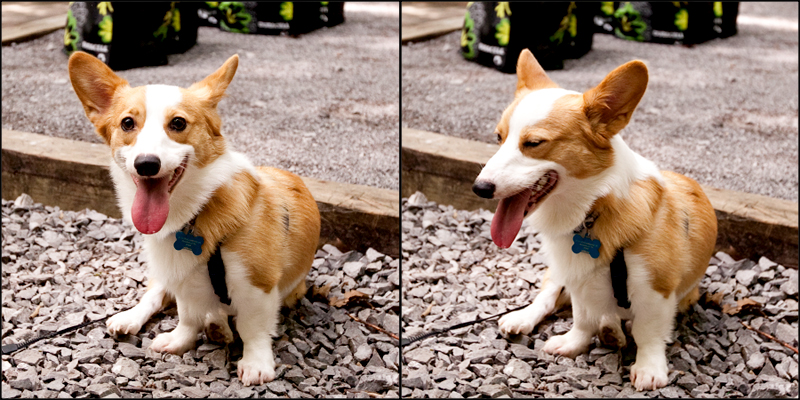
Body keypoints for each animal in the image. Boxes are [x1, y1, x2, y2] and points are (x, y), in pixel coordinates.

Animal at [68, 51, 318, 386]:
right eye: (127, 123)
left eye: (178, 123)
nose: (146, 164)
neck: (194, 212)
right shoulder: (182, 275)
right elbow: (187, 316)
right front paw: (178, 341)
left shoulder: (258, 284)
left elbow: (253, 328)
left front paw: (256, 364)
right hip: (163, 271)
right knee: (155, 295)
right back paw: (136, 318)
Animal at [472, 50, 716, 390]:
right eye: (498, 137)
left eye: (533, 143)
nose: (479, 188)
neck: (593, 209)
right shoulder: (577, 277)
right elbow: (581, 318)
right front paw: (573, 343)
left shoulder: (657, 289)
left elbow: (648, 333)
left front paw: (649, 369)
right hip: (557, 271)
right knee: (548, 296)